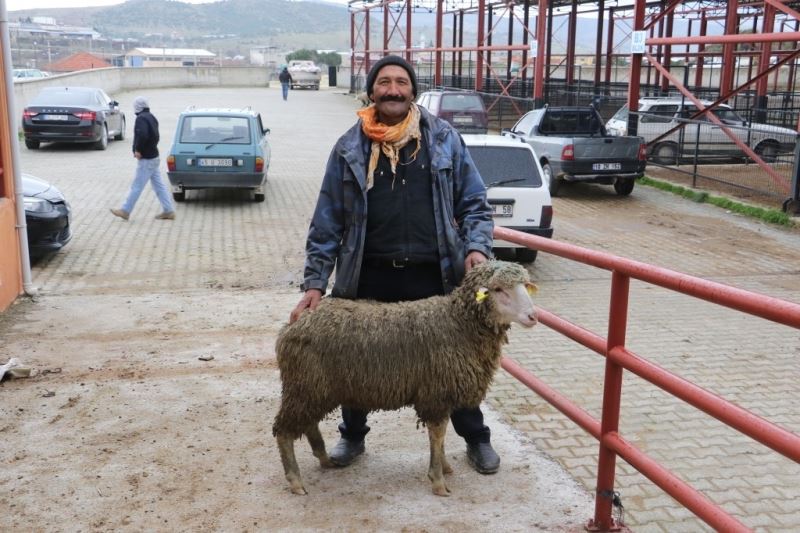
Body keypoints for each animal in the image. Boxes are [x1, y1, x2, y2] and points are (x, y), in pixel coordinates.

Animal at [272, 260, 540, 496]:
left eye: (524, 285)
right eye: (498, 289)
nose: (532, 317)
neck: (458, 323)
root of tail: (292, 325)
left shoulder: (440, 395)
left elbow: (441, 437)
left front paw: (444, 467)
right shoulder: (436, 394)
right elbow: (438, 436)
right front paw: (438, 480)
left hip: (314, 388)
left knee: (308, 423)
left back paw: (324, 458)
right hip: (305, 385)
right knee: (284, 431)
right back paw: (295, 481)